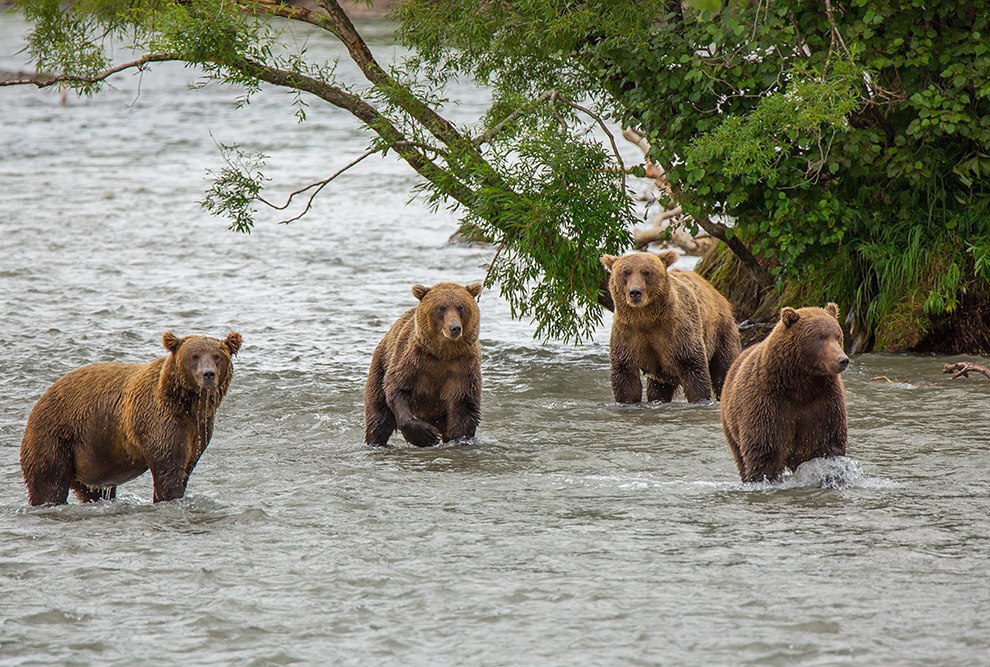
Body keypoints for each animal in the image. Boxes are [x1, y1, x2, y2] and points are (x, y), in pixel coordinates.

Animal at [21, 332, 242, 508]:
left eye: (217, 356)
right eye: (194, 356)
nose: (208, 374)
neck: (186, 405)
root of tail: (40, 400)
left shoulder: (197, 429)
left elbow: (187, 466)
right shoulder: (159, 421)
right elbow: (168, 468)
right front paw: (170, 497)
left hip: (92, 456)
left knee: (91, 490)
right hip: (55, 434)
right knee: (48, 482)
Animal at [368, 282, 484, 448]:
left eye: (461, 307)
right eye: (441, 308)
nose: (454, 328)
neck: (443, 354)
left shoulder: (463, 368)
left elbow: (464, 407)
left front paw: (460, 438)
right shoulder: (413, 362)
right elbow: (396, 388)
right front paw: (425, 435)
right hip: (380, 365)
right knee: (378, 417)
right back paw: (375, 442)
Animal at [600, 250, 740, 402]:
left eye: (646, 272)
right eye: (626, 272)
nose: (635, 292)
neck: (646, 318)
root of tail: (715, 291)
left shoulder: (677, 333)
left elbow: (694, 369)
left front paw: (699, 398)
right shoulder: (627, 334)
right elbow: (625, 378)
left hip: (721, 332)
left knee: (724, 368)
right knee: (658, 388)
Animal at [720, 306, 852, 482]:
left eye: (838, 336)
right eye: (821, 337)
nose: (842, 360)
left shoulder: (824, 402)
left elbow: (826, 443)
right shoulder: (768, 402)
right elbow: (765, 449)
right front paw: (763, 477)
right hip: (730, 423)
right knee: (740, 456)